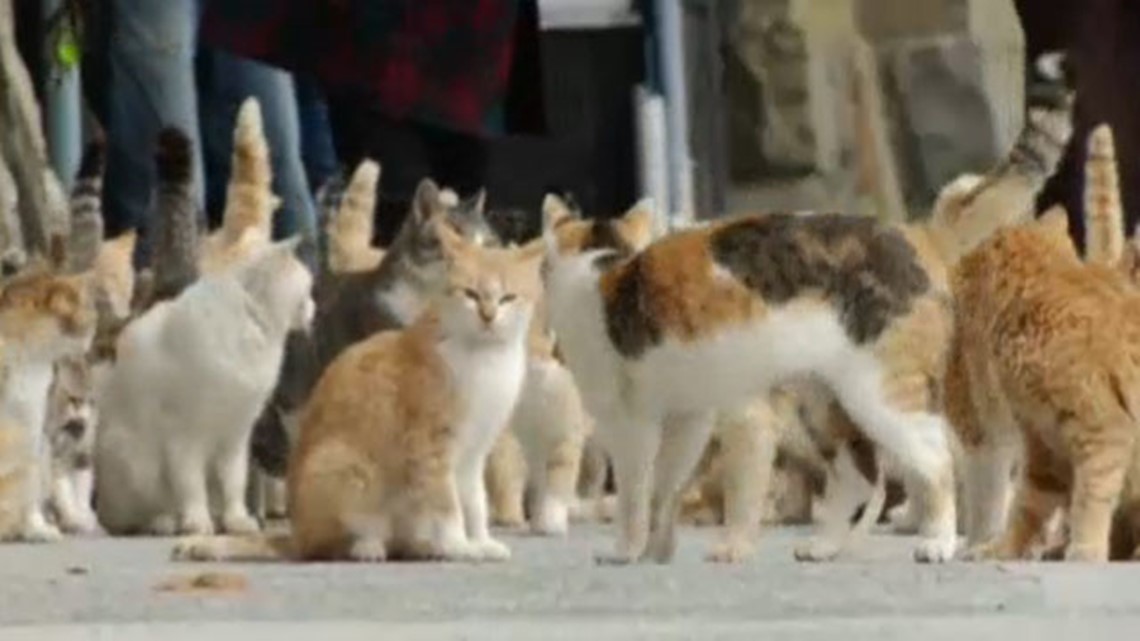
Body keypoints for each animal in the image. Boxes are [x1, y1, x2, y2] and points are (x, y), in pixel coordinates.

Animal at [94, 234, 314, 533]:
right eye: (308, 288)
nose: (314, 306)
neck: (250, 323)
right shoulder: (186, 436)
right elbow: (191, 485)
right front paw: (198, 521)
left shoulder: (236, 435)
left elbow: (235, 483)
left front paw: (236, 520)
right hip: (132, 461)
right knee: (132, 517)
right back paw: (166, 522)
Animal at [174, 214, 547, 558]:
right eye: (470, 294)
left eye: (508, 298)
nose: (488, 316)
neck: (483, 357)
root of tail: (296, 535)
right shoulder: (430, 447)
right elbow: (447, 504)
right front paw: (459, 546)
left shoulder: (474, 452)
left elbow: (475, 503)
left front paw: (480, 542)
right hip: (344, 467)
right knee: (332, 545)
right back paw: (369, 547)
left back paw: (421, 545)